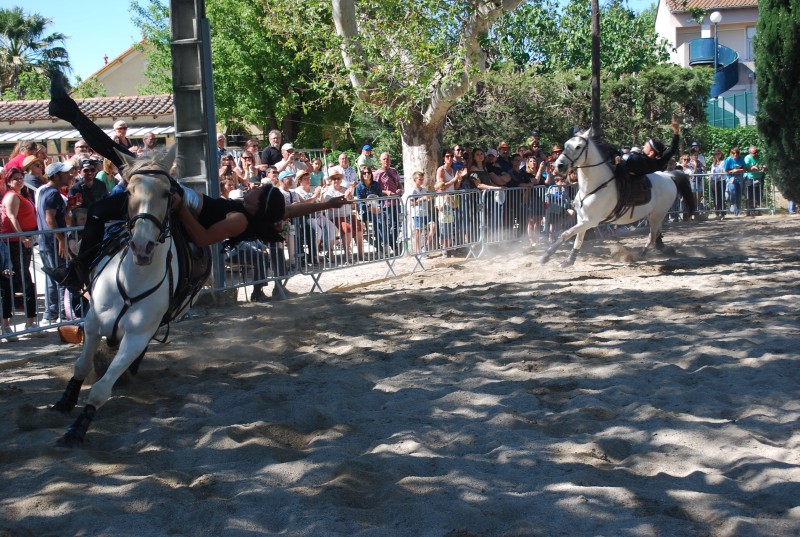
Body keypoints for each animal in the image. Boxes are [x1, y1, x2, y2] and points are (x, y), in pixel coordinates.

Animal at [51, 149, 203, 446]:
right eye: (130, 191)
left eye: (167, 193)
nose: (142, 247)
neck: (132, 280)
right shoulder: (92, 323)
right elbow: (81, 366)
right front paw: (65, 402)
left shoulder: (137, 336)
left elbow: (101, 389)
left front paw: (77, 429)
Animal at [544, 130, 692, 268]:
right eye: (565, 145)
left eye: (578, 147)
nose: (558, 165)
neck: (594, 185)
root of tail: (669, 176)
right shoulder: (582, 218)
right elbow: (578, 239)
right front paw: (569, 260)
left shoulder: (592, 221)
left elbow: (565, 233)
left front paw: (546, 255)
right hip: (655, 215)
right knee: (657, 235)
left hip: (657, 214)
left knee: (652, 236)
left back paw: (639, 255)